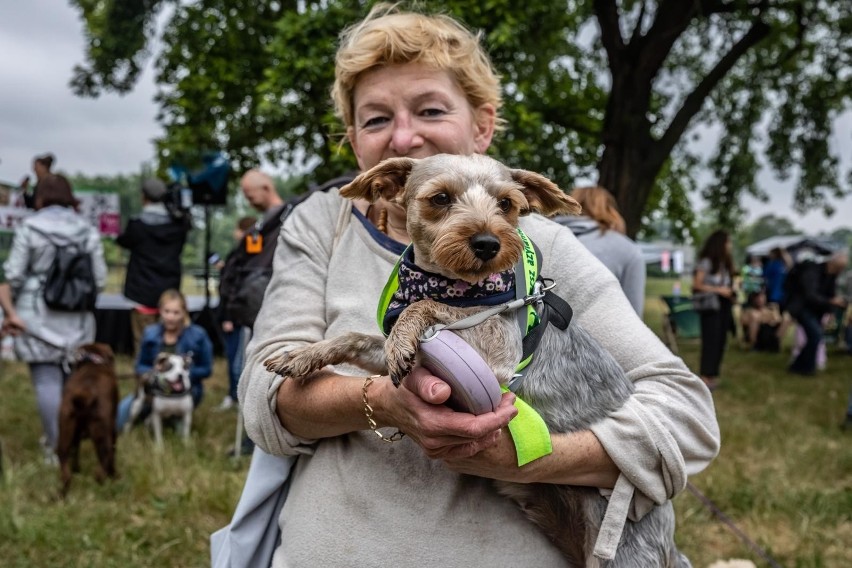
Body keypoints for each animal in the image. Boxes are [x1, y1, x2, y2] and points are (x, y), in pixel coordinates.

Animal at [57, 342, 119, 496]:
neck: (93, 363)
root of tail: (86, 392)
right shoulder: (113, 429)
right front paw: (114, 475)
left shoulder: (75, 436)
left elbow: (75, 451)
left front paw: (77, 469)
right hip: (102, 435)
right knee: (101, 467)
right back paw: (104, 487)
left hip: (65, 431)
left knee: (65, 468)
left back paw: (62, 493)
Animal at [262, 154, 688, 568]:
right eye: (440, 198)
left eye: (507, 204)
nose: (487, 243)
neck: (458, 285)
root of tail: (670, 541)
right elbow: (353, 338)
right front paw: (303, 355)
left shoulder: (496, 354)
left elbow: (425, 304)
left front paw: (404, 330)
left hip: (623, 552)